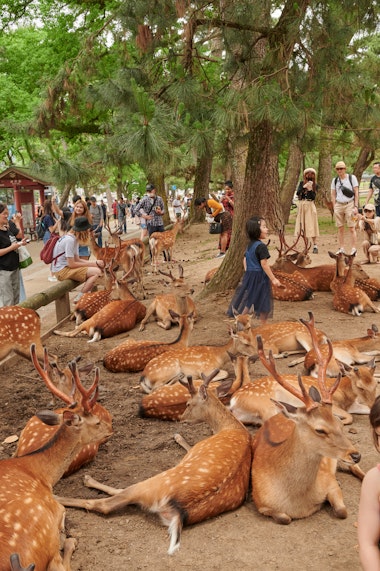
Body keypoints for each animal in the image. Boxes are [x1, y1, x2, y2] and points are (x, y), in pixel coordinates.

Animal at [53, 370, 252, 556]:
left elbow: (187, 446)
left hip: (153, 482)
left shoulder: (194, 450)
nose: (181, 418)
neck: (228, 427)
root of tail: (178, 513)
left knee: (106, 502)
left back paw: (70, 490)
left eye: (188, 403)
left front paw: (177, 436)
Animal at [251, 316, 360, 524]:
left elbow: (342, 512)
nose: (356, 454)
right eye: (320, 429)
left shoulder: (329, 481)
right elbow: (284, 518)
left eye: (339, 423)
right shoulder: (261, 503)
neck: (297, 503)